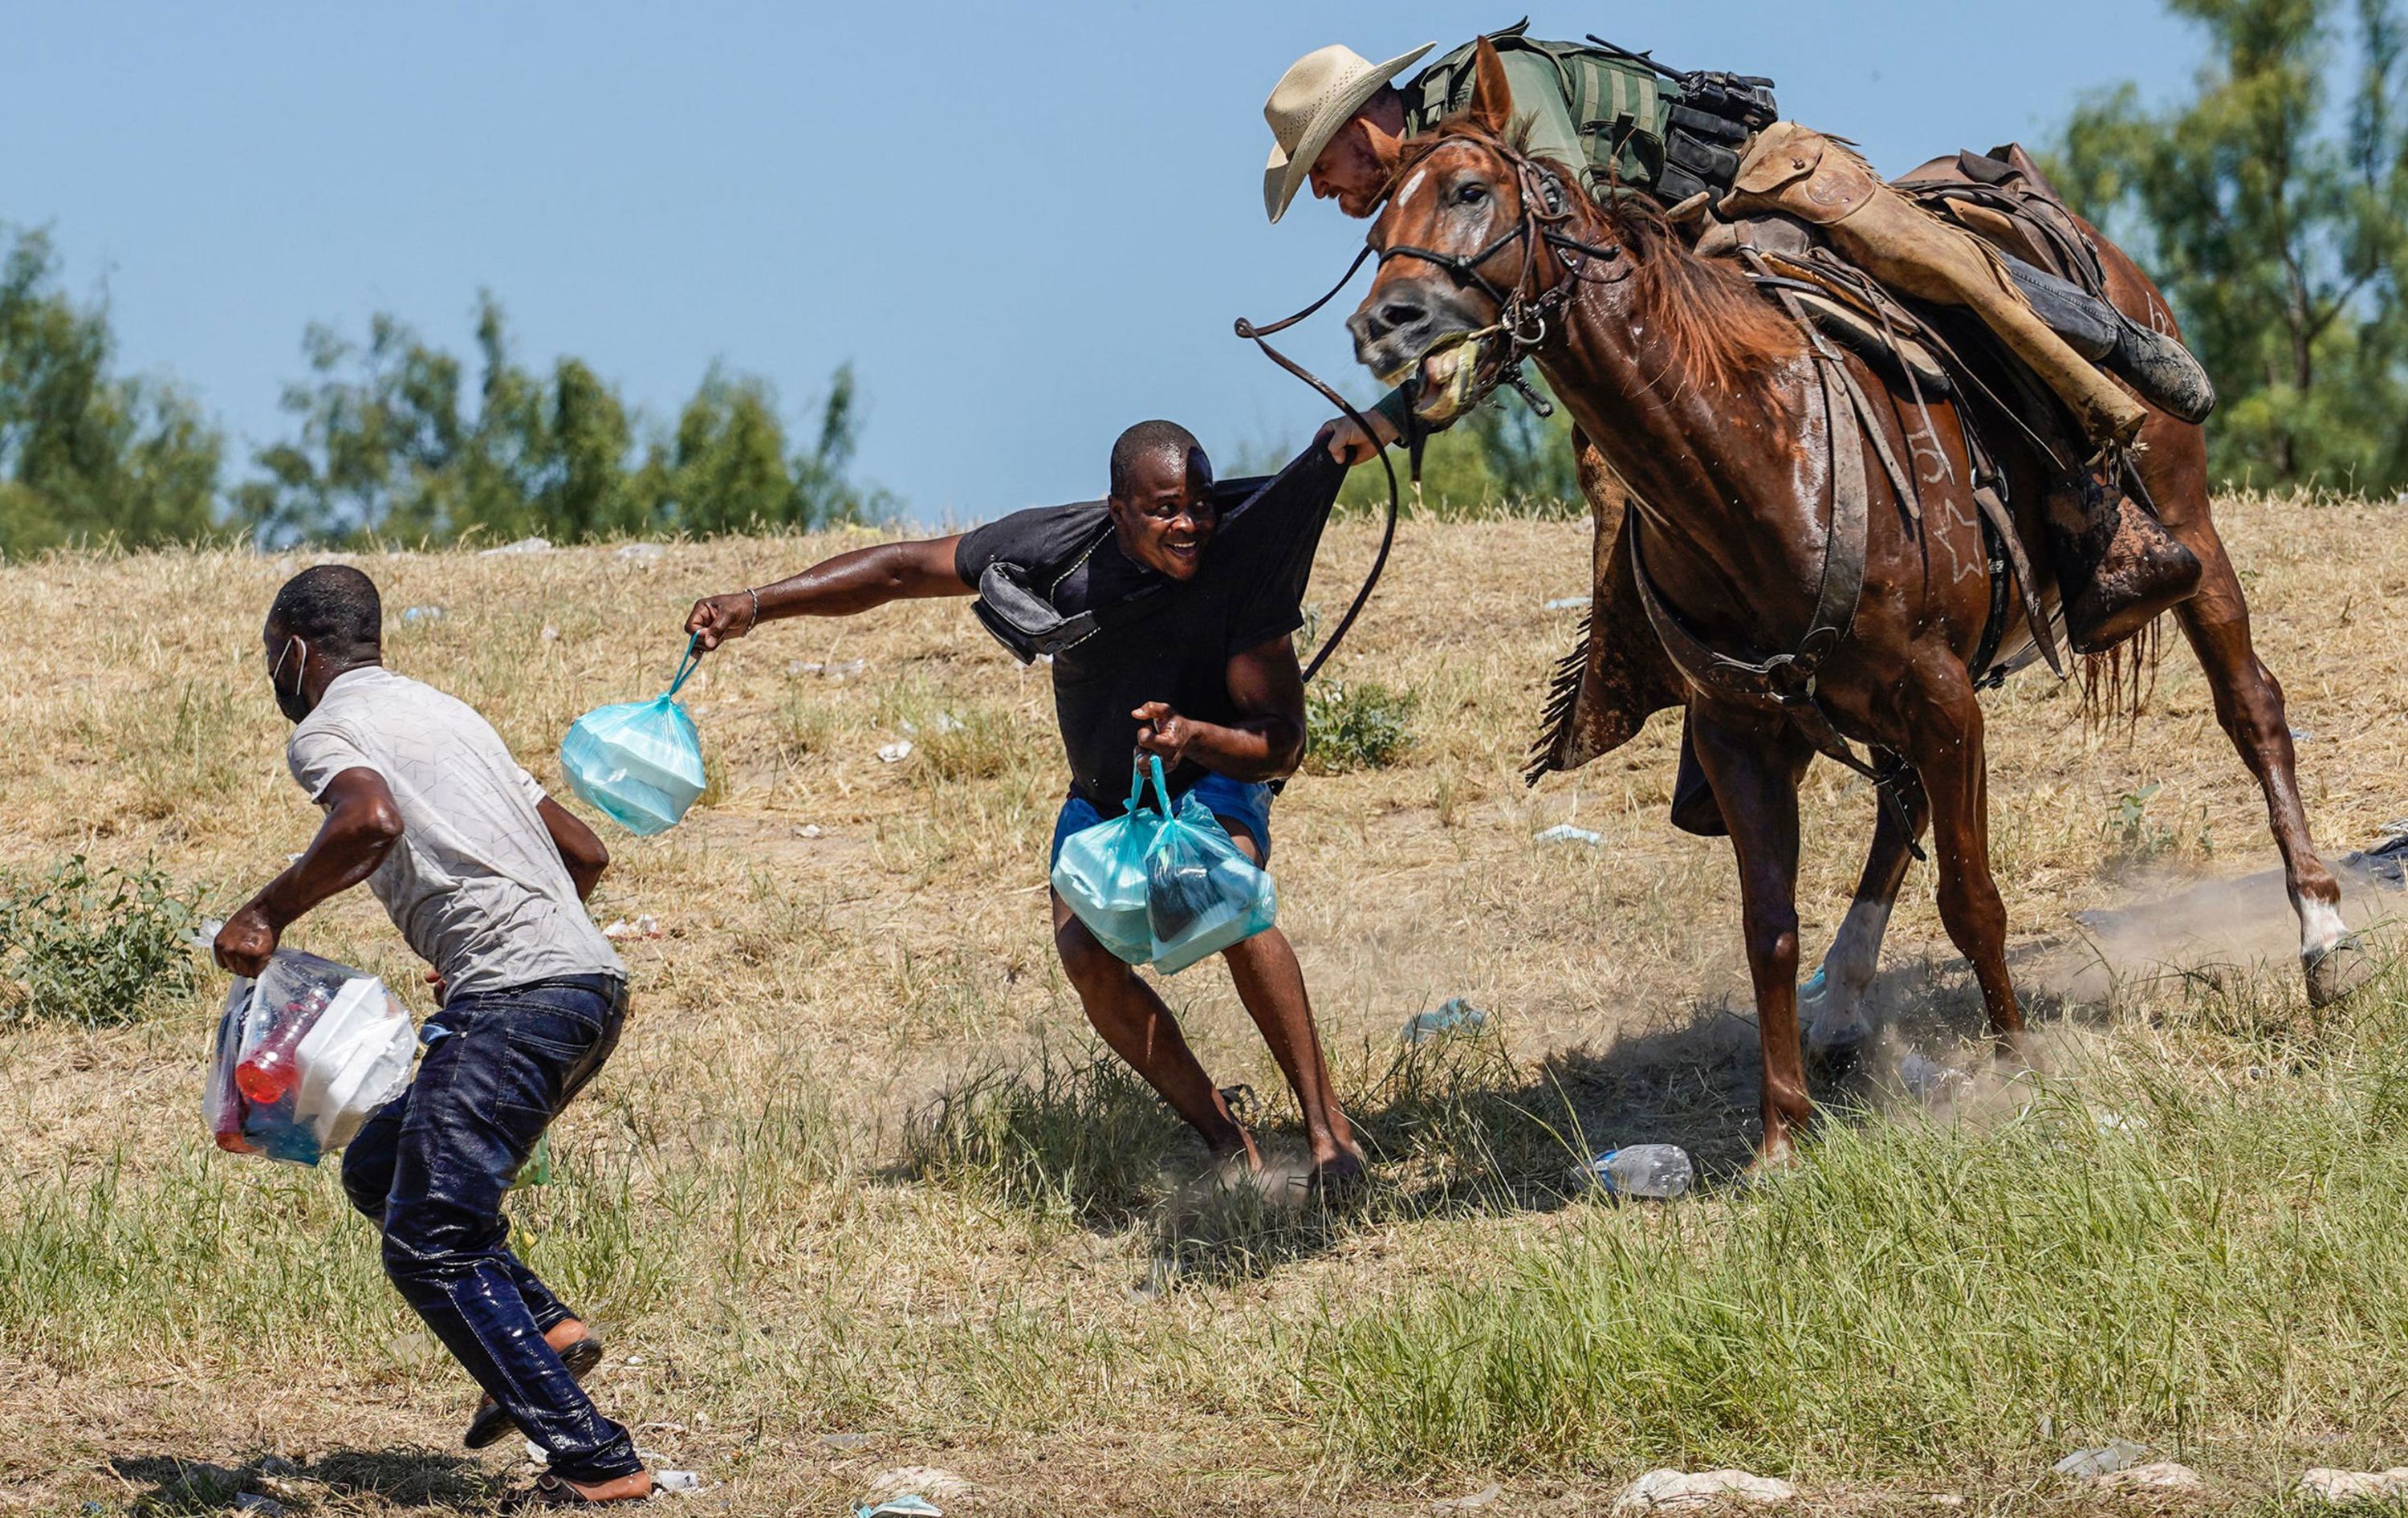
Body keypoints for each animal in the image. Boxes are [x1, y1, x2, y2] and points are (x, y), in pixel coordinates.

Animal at [1358, 44, 2369, 1166]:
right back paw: (1841, 1003)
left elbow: (1971, 897)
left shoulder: (1941, 695)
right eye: (1376, 223)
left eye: (1469, 190)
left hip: (2186, 522)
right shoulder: (1744, 730)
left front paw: (2019, 1067)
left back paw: (2323, 935)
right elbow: (1768, 928)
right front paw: (1781, 1135)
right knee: (1902, 806)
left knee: (2252, 705)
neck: (1754, 450)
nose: (1381, 324)